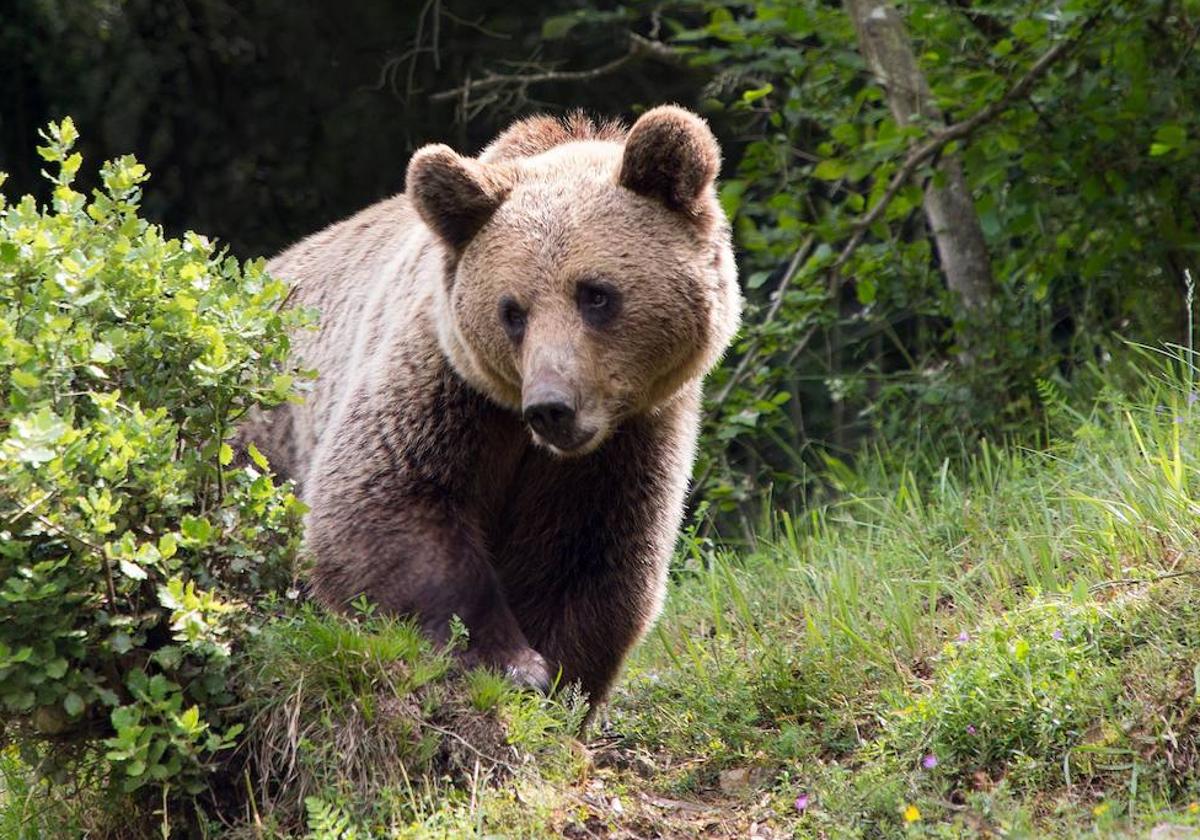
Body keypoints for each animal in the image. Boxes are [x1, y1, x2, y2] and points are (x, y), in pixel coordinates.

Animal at [243, 108, 739, 705]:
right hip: (261, 437)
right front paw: (508, 661)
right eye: (512, 311)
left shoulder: (629, 440)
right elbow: (385, 502)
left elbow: (589, 556)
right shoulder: (445, 387)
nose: (551, 407)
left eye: (596, 293)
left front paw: (559, 679)